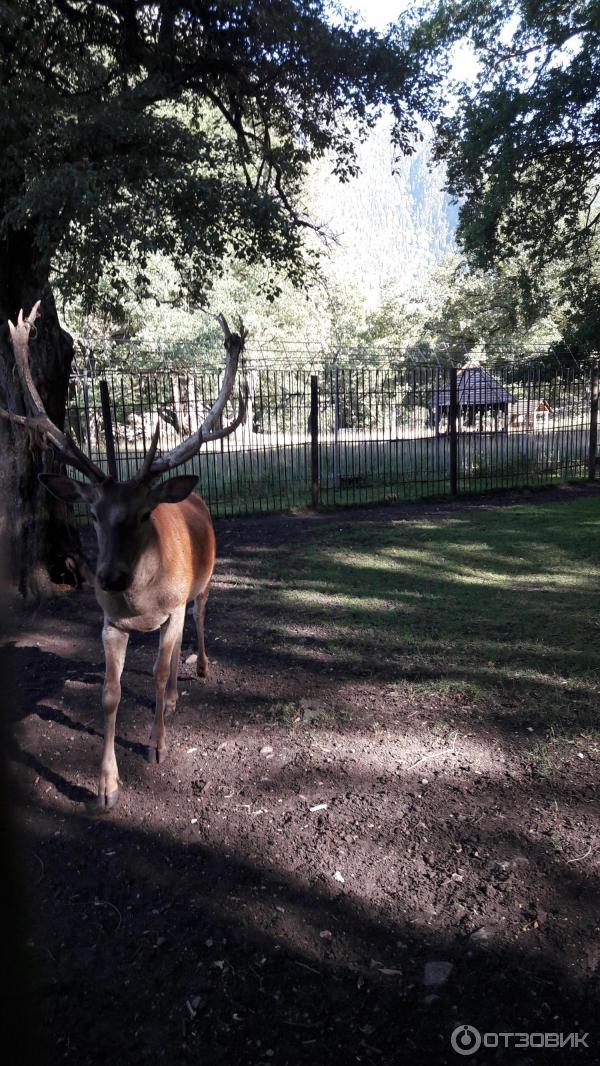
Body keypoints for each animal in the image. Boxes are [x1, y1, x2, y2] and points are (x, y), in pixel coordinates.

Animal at [1, 304, 246, 810]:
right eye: (92, 513)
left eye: (144, 513)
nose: (109, 577)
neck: (142, 604)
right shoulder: (111, 623)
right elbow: (110, 694)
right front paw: (106, 786)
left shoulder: (170, 608)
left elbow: (156, 671)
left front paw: (157, 746)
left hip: (204, 580)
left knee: (199, 618)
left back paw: (198, 670)